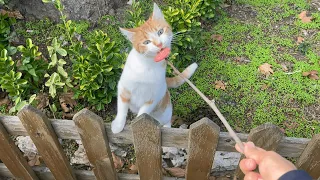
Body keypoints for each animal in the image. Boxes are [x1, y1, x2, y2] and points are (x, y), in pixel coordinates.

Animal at [112, 3, 198, 134]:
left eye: (160, 32)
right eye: (146, 42)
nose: (159, 44)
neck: (148, 66)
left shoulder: (153, 99)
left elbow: (142, 114)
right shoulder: (123, 89)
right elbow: (122, 110)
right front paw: (118, 125)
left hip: (164, 111)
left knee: (167, 120)